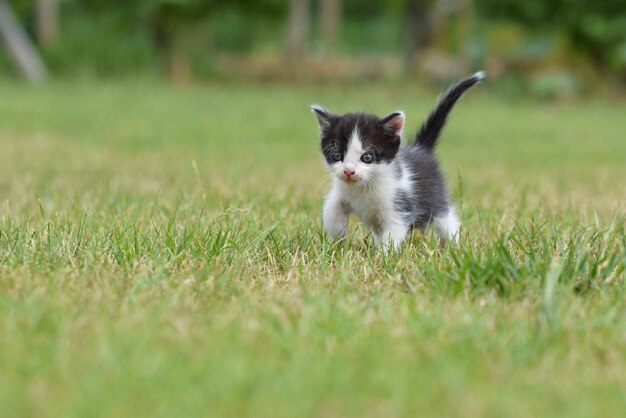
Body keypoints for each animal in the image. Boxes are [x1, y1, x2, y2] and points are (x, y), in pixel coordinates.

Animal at [310, 71, 482, 251]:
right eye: (337, 156)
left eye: (367, 157)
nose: (349, 171)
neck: (363, 188)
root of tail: (420, 147)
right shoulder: (342, 191)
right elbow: (331, 208)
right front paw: (339, 235)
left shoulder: (400, 206)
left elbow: (393, 232)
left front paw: (383, 255)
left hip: (435, 200)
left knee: (447, 222)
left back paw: (453, 246)